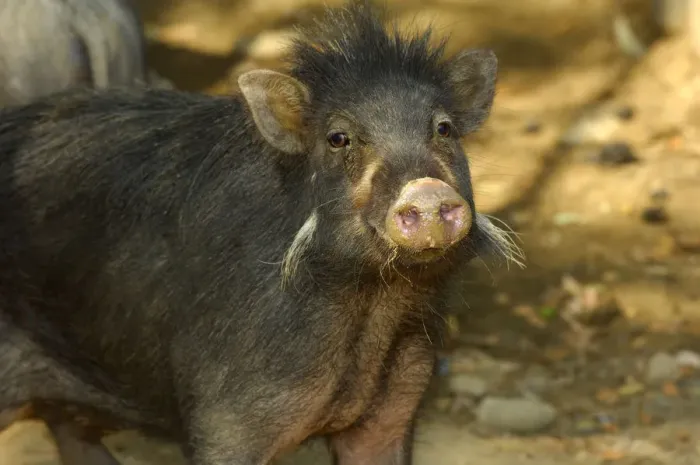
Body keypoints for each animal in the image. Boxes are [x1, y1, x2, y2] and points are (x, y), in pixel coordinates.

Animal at [0, 1, 523, 464]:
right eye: (338, 138)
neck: (373, 304)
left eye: (444, 128)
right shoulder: (223, 423)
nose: (427, 190)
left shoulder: (395, 408)